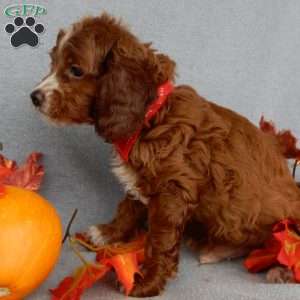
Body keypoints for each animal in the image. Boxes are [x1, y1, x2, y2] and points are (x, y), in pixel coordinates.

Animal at [31, 12, 300, 296]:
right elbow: (128, 208)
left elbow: (160, 240)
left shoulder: (173, 191)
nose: (34, 97)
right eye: (53, 62)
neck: (151, 117)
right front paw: (106, 234)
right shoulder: (141, 181)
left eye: (76, 70)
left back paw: (280, 271)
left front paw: (147, 281)